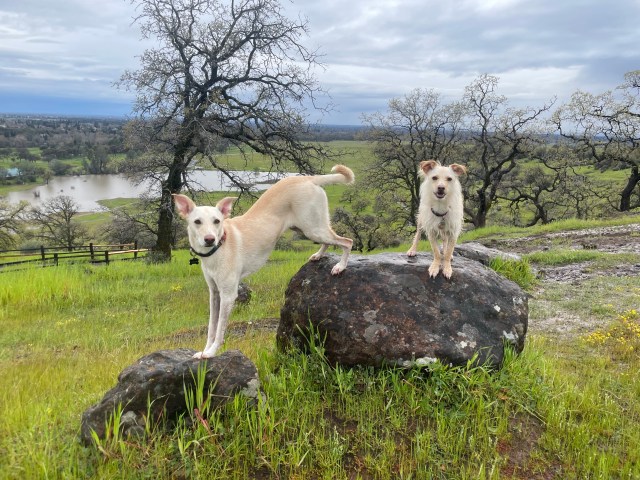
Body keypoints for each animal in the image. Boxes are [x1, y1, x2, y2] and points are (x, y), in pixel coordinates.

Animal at [174, 165, 356, 356]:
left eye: (217, 221)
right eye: (197, 222)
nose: (209, 239)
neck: (219, 247)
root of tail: (307, 178)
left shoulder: (228, 295)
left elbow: (220, 329)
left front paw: (211, 352)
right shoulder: (215, 294)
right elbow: (211, 327)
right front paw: (205, 351)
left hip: (313, 227)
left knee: (347, 241)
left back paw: (341, 266)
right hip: (307, 228)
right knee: (329, 241)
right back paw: (319, 255)